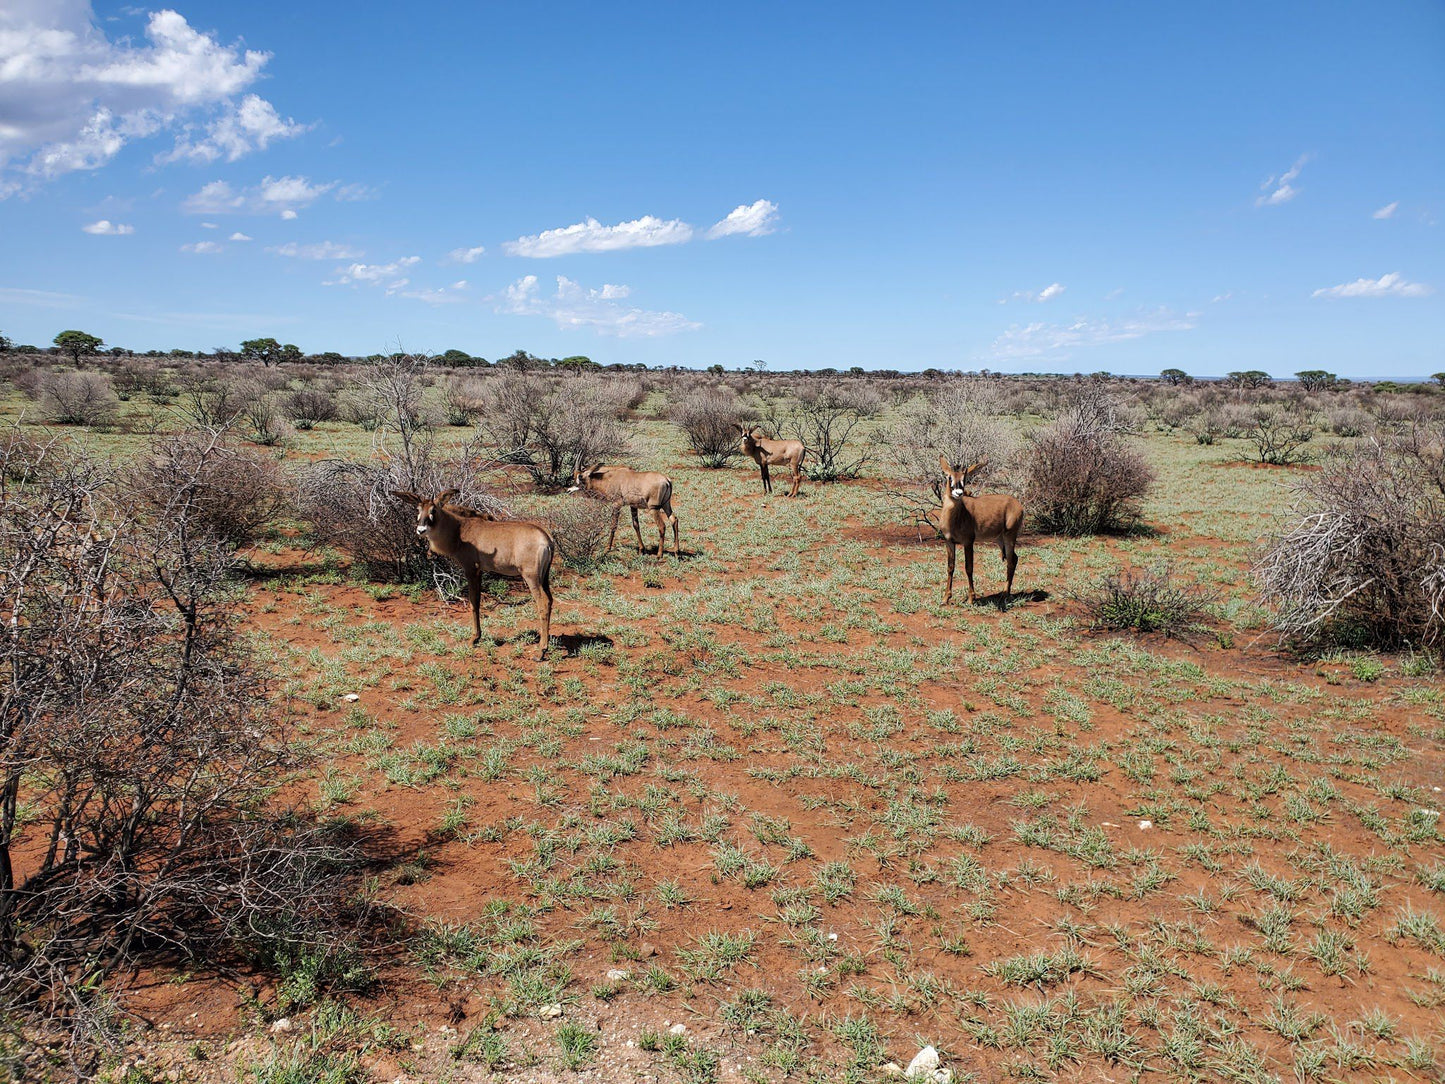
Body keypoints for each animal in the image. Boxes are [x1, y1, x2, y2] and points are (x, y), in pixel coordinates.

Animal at [393, 494, 554, 661]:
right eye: (418, 509)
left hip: (531, 577)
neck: (460, 529)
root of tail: (546, 539)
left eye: (434, 510)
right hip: (544, 578)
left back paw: (541, 651)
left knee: (542, 604)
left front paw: (473, 639)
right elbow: (477, 601)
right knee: (549, 600)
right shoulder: (480, 572)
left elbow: (473, 603)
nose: (421, 530)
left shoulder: (471, 570)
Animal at [930, 456, 1023, 607]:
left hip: (1010, 536)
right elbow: (950, 567)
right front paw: (945, 598)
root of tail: (1017, 504)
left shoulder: (968, 542)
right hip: (999, 539)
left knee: (1010, 561)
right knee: (1014, 558)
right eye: (949, 477)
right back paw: (1005, 593)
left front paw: (971, 599)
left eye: (965, 478)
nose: (959, 493)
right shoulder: (949, 542)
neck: (955, 517)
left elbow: (969, 567)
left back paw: (1005, 594)